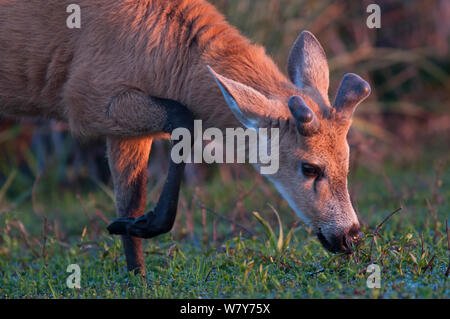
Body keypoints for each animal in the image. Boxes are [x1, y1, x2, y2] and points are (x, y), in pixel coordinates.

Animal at [0, 0, 370, 276]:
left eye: (347, 164)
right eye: (310, 168)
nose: (350, 236)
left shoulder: (121, 129)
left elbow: (130, 198)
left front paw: (136, 265)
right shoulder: (85, 100)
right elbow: (184, 118)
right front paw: (144, 226)